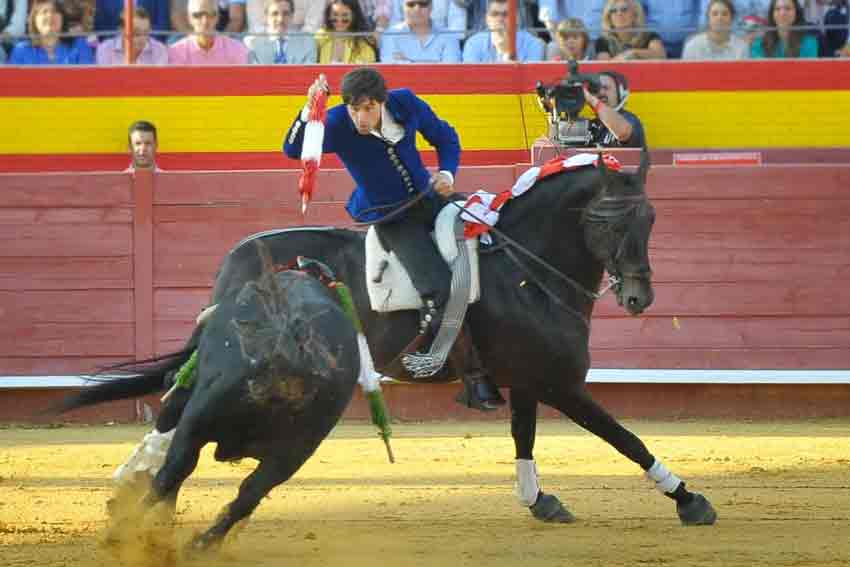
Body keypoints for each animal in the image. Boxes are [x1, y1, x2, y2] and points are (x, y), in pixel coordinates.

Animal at [58, 251, 362, 552]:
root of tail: (291, 348)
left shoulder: (184, 400)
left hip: (198, 417)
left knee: (173, 472)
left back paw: (123, 530)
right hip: (293, 453)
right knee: (248, 494)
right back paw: (200, 544)